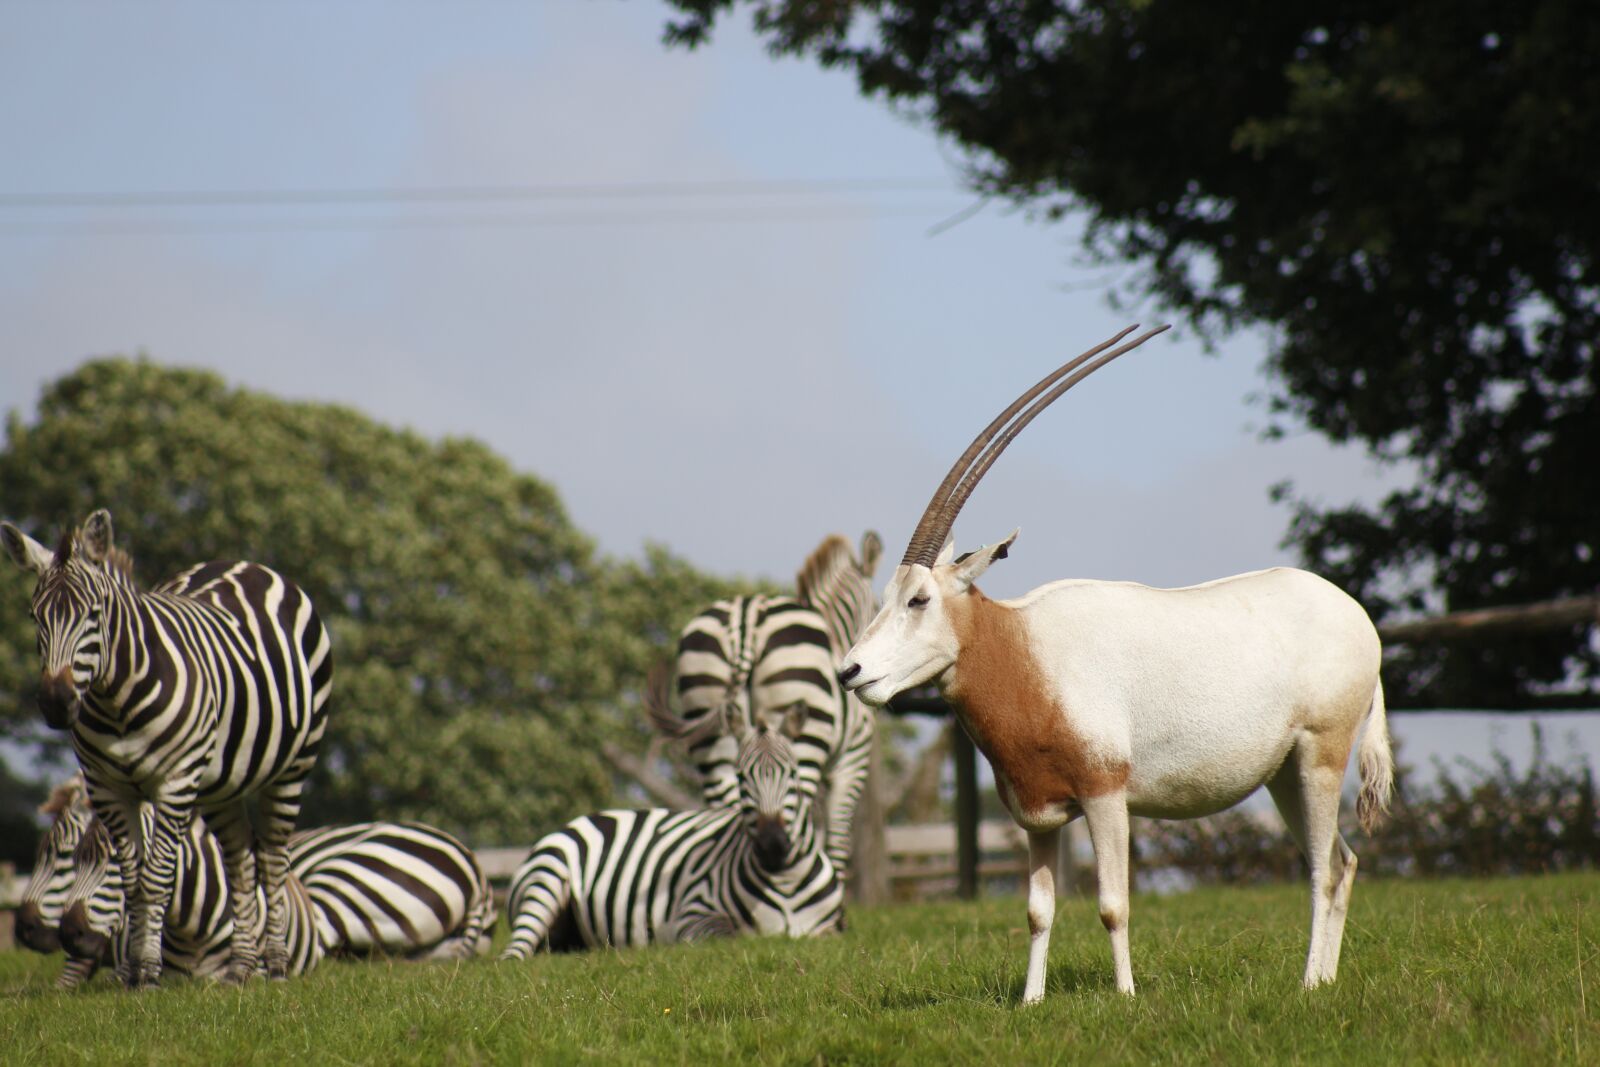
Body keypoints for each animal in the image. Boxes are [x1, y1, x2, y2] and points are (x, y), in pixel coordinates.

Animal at [1, 509, 332, 987]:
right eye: (34, 616)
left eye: (94, 614)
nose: (55, 702)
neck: (116, 701)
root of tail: (246, 563)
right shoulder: (108, 788)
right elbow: (134, 880)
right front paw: (137, 973)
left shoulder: (174, 781)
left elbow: (157, 877)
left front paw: (149, 970)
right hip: (220, 785)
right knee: (239, 860)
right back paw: (241, 968)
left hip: (292, 767)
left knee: (272, 859)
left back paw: (275, 965)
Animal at [499, 720, 842, 960]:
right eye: (741, 778)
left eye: (793, 775)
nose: (773, 845)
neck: (786, 879)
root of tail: (583, 818)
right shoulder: (692, 914)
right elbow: (738, 935)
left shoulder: (833, 929)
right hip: (546, 880)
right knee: (516, 950)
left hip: (569, 936)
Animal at [666, 531, 881, 879]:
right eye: (878, 609)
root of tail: (746, 618)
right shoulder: (852, 759)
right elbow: (836, 838)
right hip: (800, 738)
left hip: (711, 732)